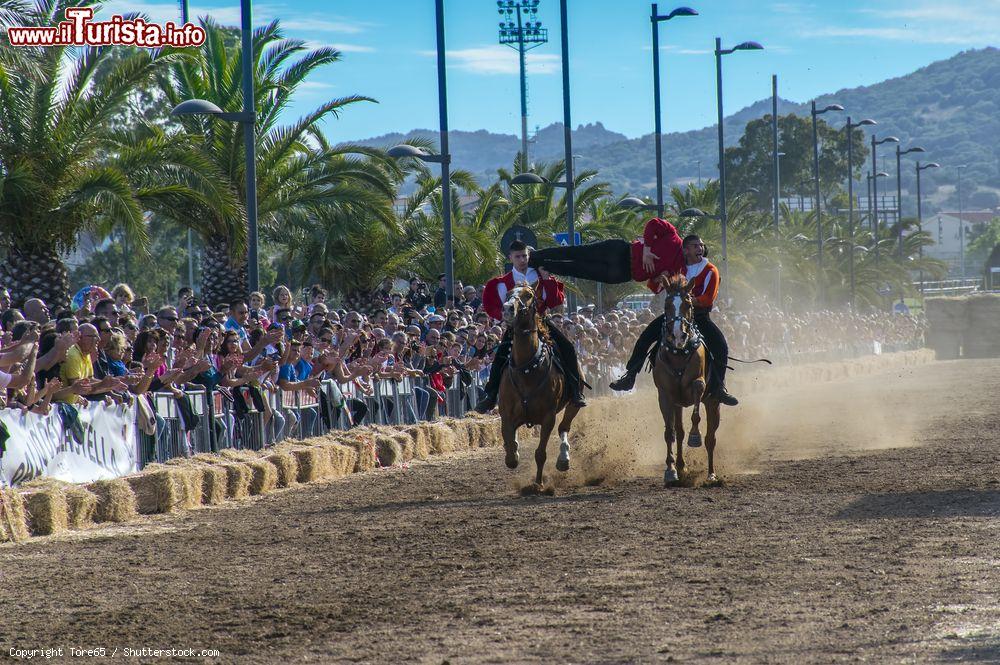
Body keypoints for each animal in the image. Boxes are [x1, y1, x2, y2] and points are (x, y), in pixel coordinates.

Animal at [498, 282, 584, 486]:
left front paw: (538, 484)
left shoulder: (548, 418)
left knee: (564, 428)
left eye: (528, 295)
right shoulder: (506, 414)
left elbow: (540, 454)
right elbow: (510, 452)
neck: (527, 370)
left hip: (573, 405)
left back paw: (563, 459)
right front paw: (513, 449)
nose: (508, 308)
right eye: (508, 292)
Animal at [652, 272, 724, 486]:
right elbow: (670, 433)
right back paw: (682, 468)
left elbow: (696, 414)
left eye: (688, 304)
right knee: (679, 431)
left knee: (710, 438)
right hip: (677, 405)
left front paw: (695, 437)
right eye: (667, 304)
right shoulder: (665, 396)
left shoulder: (699, 386)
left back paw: (711, 474)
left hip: (713, 403)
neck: (678, 353)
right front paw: (671, 470)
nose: (678, 335)